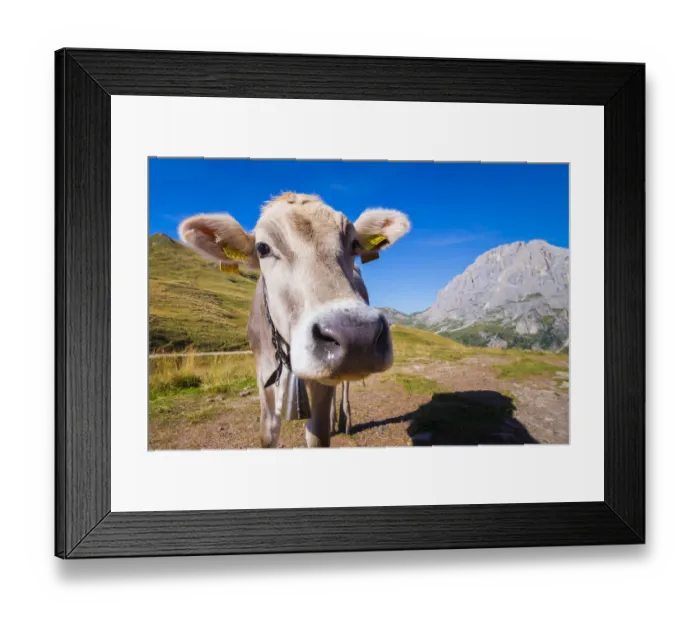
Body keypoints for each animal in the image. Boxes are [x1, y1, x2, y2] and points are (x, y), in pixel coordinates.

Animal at [178, 192, 410, 448]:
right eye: (262, 248)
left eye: (354, 244)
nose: (357, 334)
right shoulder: (264, 378)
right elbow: (268, 435)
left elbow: (317, 436)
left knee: (344, 385)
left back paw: (344, 420)